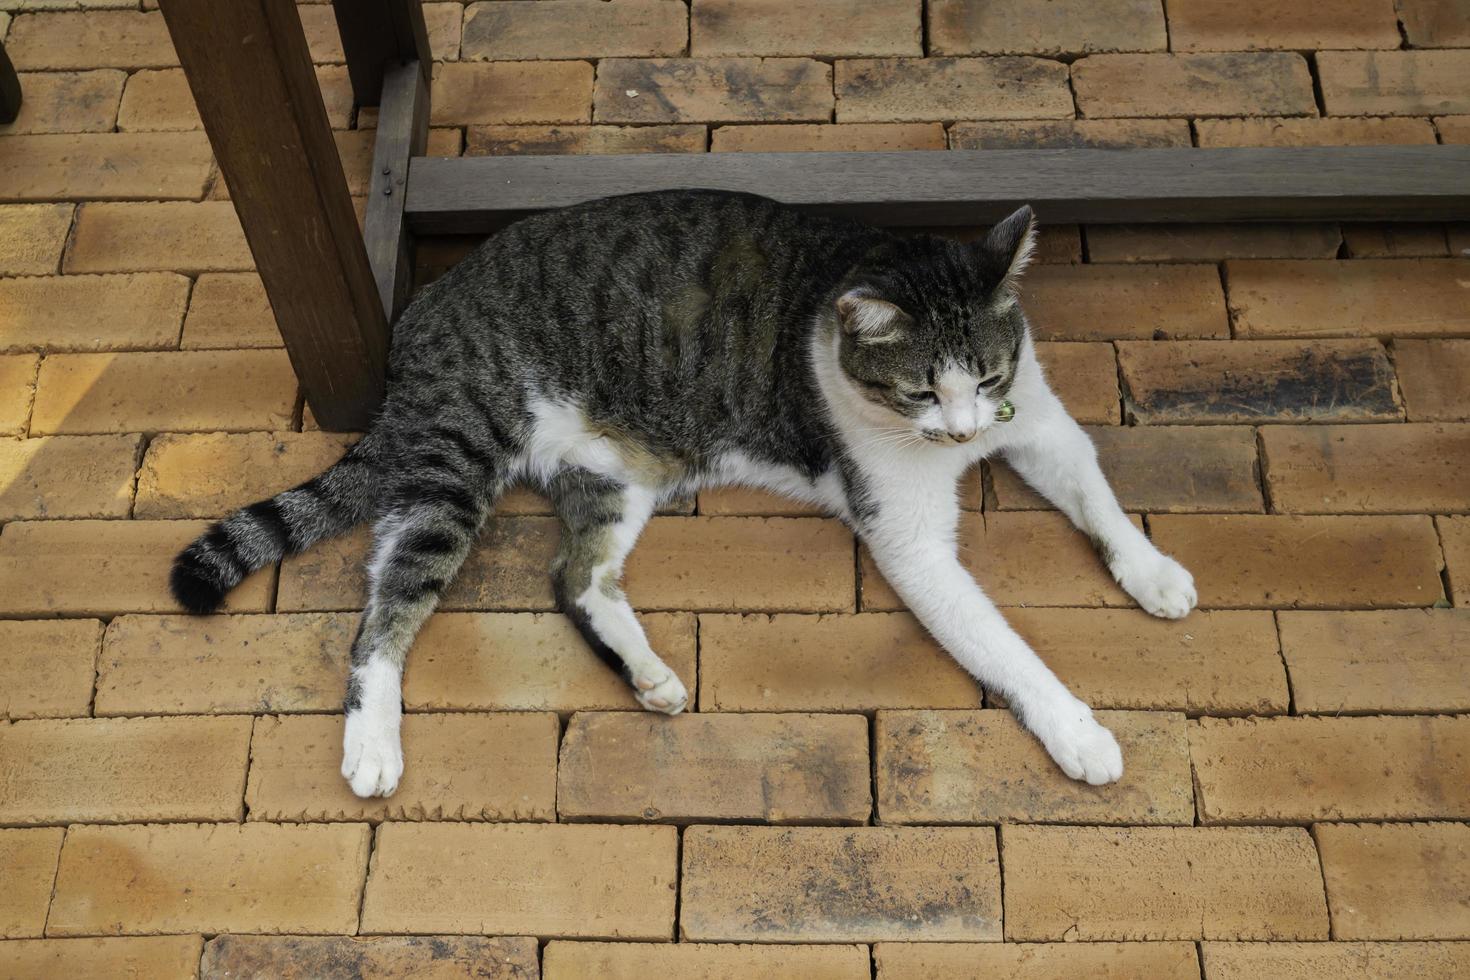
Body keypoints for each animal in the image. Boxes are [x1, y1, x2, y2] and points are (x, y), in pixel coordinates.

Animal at [171, 189, 1199, 799]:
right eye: (918, 392)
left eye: (986, 377)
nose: (961, 431)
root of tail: (421, 314)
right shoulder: (908, 537)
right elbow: (1007, 649)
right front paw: (1078, 731)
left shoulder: (1039, 422)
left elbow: (1098, 497)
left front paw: (1153, 573)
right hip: (453, 464)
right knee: (384, 604)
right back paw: (373, 745)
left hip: (614, 479)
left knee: (575, 578)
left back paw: (651, 677)